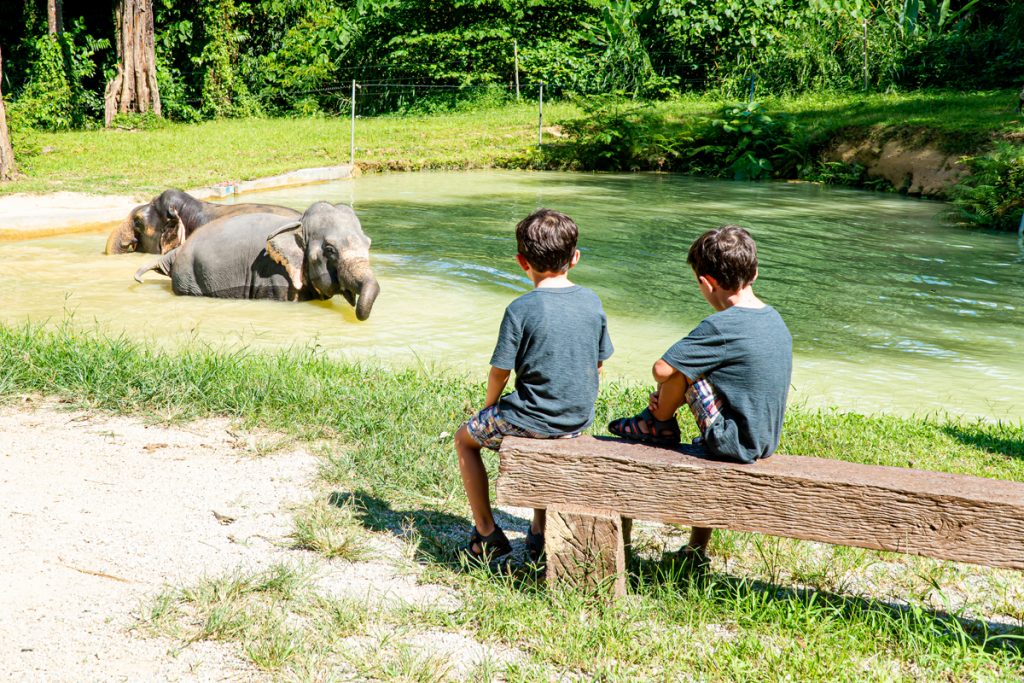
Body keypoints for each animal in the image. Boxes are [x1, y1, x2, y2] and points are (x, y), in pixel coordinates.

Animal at [133, 202, 380, 320]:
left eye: (368, 243)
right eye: (330, 250)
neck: (298, 223)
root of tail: (176, 252)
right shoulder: (273, 275)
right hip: (190, 279)